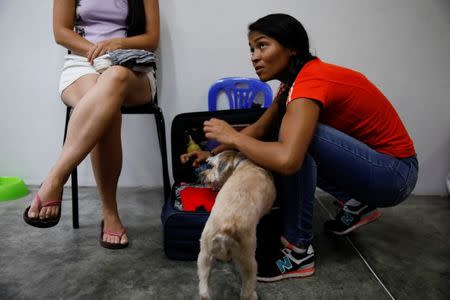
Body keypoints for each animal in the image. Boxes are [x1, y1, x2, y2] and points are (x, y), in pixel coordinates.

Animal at [198, 151, 276, 298]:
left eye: (212, 166)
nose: (201, 175)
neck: (243, 165)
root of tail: (227, 228)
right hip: (248, 259)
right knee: (246, 290)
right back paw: (253, 295)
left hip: (204, 253)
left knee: (203, 289)